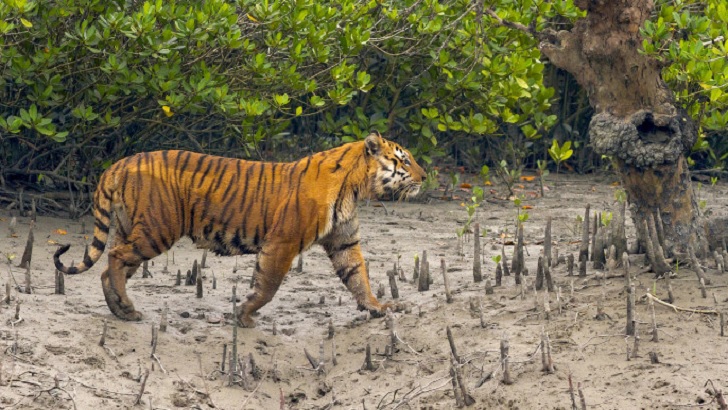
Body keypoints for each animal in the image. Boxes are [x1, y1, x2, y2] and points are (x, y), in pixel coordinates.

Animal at [54, 131, 426, 326]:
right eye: (404, 159)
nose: (425, 177)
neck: (355, 187)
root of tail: (117, 164)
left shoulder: (343, 242)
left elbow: (358, 277)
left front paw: (378, 308)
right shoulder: (282, 242)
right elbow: (268, 284)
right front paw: (245, 315)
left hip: (129, 228)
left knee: (109, 267)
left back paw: (119, 309)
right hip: (156, 230)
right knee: (115, 258)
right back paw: (127, 309)